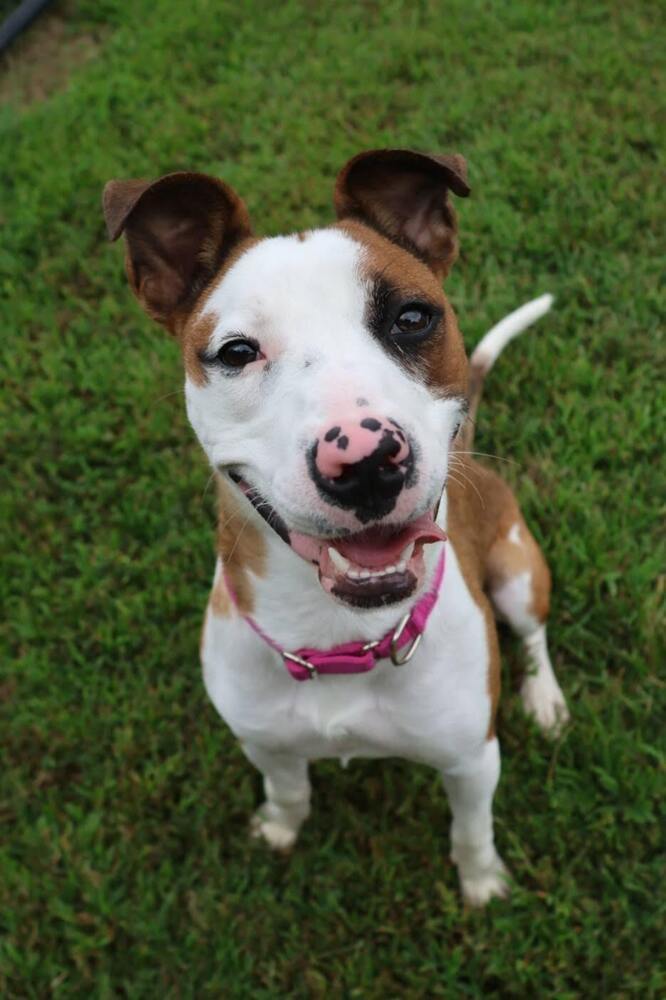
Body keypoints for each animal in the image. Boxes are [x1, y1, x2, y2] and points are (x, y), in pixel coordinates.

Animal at [102, 148, 564, 908]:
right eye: (236, 352)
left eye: (412, 317)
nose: (366, 461)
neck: (341, 640)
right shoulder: (263, 742)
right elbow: (289, 789)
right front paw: (279, 828)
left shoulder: (472, 760)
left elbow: (471, 828)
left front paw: (482, 883)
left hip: (519, 574)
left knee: (534, 636)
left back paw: (547, 697)